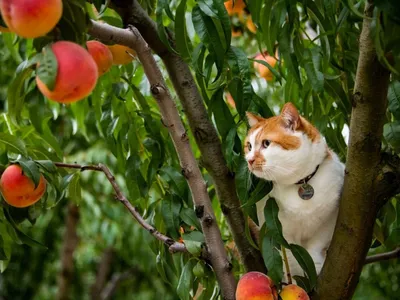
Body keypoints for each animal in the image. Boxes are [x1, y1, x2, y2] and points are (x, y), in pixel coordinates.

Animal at [245, 102, 346, 278]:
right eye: (249, 146)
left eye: (266, 143)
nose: (249, 160)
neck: (301, 182)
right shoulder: (276, 230)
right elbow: (291, 258)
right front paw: (296, 277)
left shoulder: (329, 219)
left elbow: (315, 246)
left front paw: (316, 267)